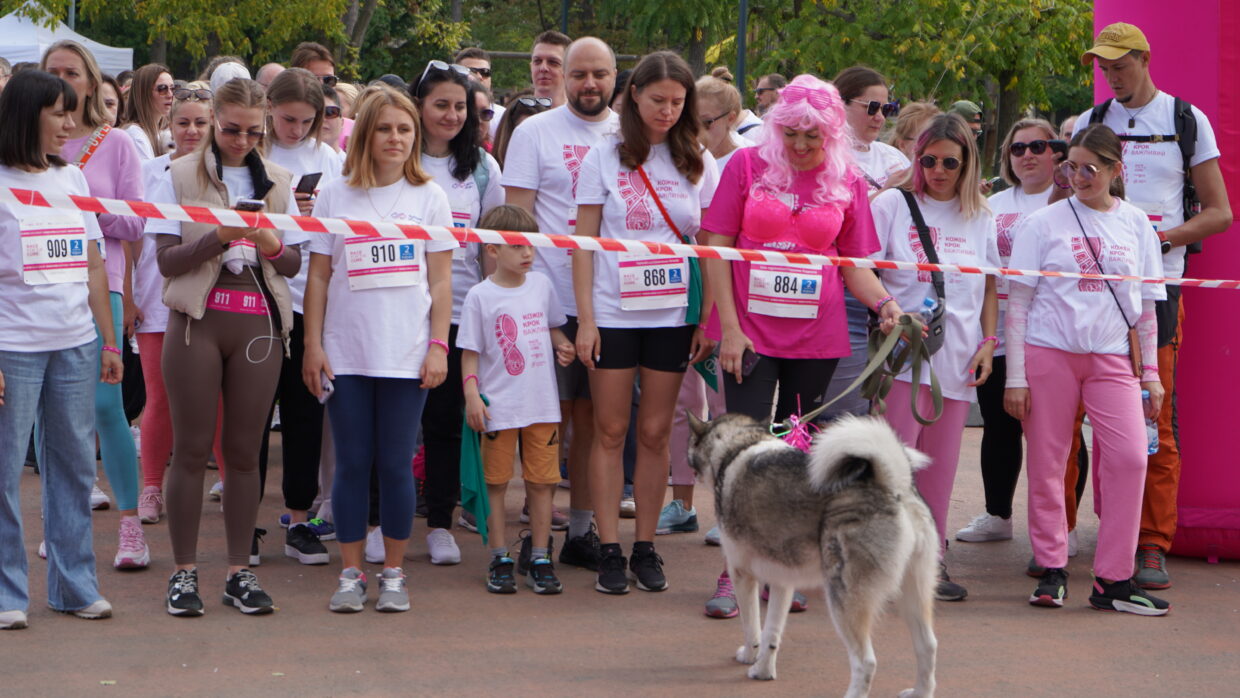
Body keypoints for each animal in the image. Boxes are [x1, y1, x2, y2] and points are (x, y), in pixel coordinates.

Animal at [689, 411, 937, 694]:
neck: (739, 444)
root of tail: (893, 484)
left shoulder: (741, 574)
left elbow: (752, 628)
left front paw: (749, 658)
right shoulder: (782, 582)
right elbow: (771, 634)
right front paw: (763, 671)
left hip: (844, 598)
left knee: (866, 662)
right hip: (913, 594)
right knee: (928, 647)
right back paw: (920, 692)